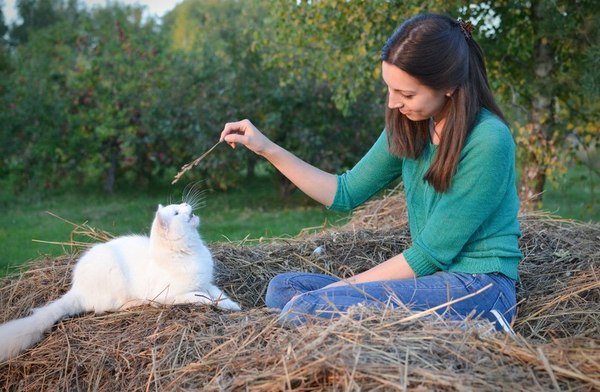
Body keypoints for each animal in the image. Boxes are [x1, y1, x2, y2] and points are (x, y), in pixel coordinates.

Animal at [0, 202, 239, 362]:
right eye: (177, 212)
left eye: (180, 205)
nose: (187, 203)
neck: (189, 251)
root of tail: (77, 288)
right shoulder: (173, 295)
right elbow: (201, 297)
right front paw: (217, 304)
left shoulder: (206, 282)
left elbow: (218, 293)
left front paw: (232, 305)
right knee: (115, 307)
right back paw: (140, 303)